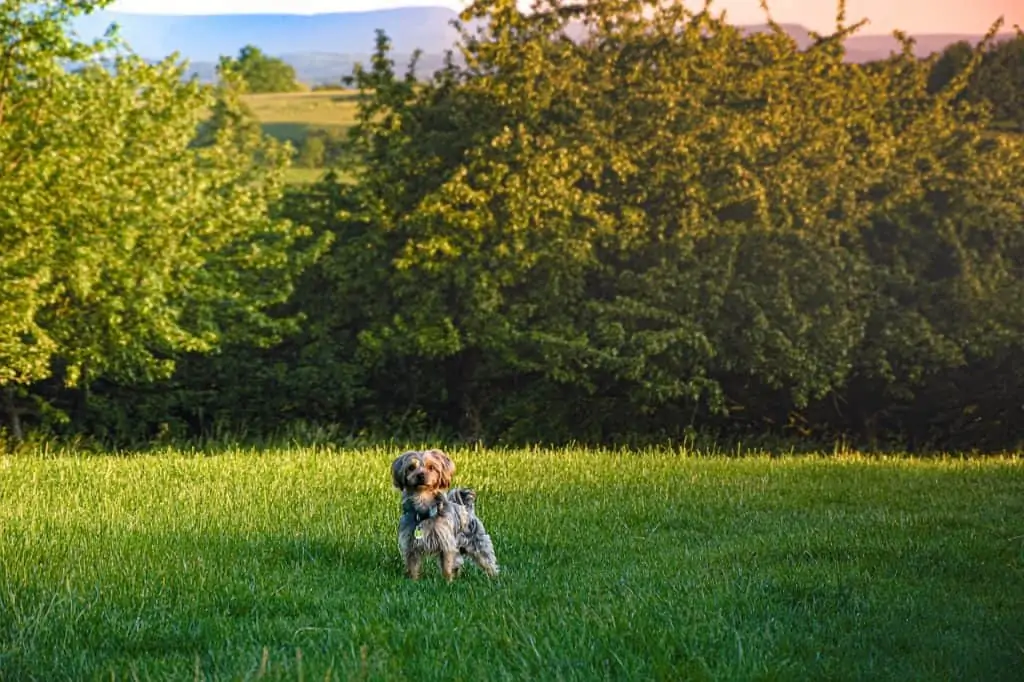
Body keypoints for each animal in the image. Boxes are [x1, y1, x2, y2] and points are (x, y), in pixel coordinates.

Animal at [387, 446, 499, 577]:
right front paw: (413, 579)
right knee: (458, 561)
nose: (420, 475)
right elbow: (412, 566)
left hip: (478, 541)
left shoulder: (446, 543)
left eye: (431, 467)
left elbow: (447, 565)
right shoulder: (410, 543)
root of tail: (467, 508)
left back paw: (493, 576)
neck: (423, 502)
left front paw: (447, 580)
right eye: (411, 467)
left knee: (486, 559)